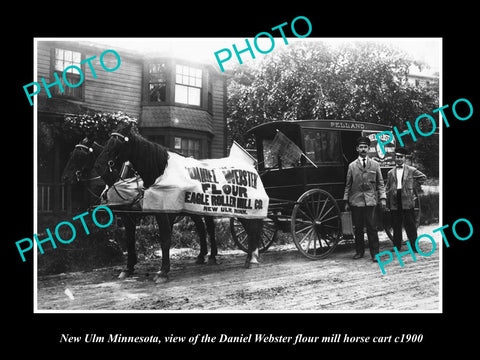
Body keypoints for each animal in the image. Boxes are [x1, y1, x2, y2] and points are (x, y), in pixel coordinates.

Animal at [62, 136, 218, 280]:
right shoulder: (127, 215)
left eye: (79, 156)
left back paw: (212, 256)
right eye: (70, 154)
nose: (65, 178)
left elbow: (133, 239)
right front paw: (129, 267)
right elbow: (130, 239)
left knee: (209, 226)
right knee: (200, 226)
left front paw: (132, 267)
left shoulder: (129, 215)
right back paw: (201, 255)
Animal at [93, 122, 262, 282]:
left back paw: (252, 258)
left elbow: (165, 238)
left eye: (119, 142)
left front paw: (163, 272)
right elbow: (131, 240)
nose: (99, 166)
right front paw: (128, 268)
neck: (160, 172)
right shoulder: (131, 216)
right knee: (209, 227)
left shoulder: (163, 212)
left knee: (251, 227)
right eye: (108, 139)